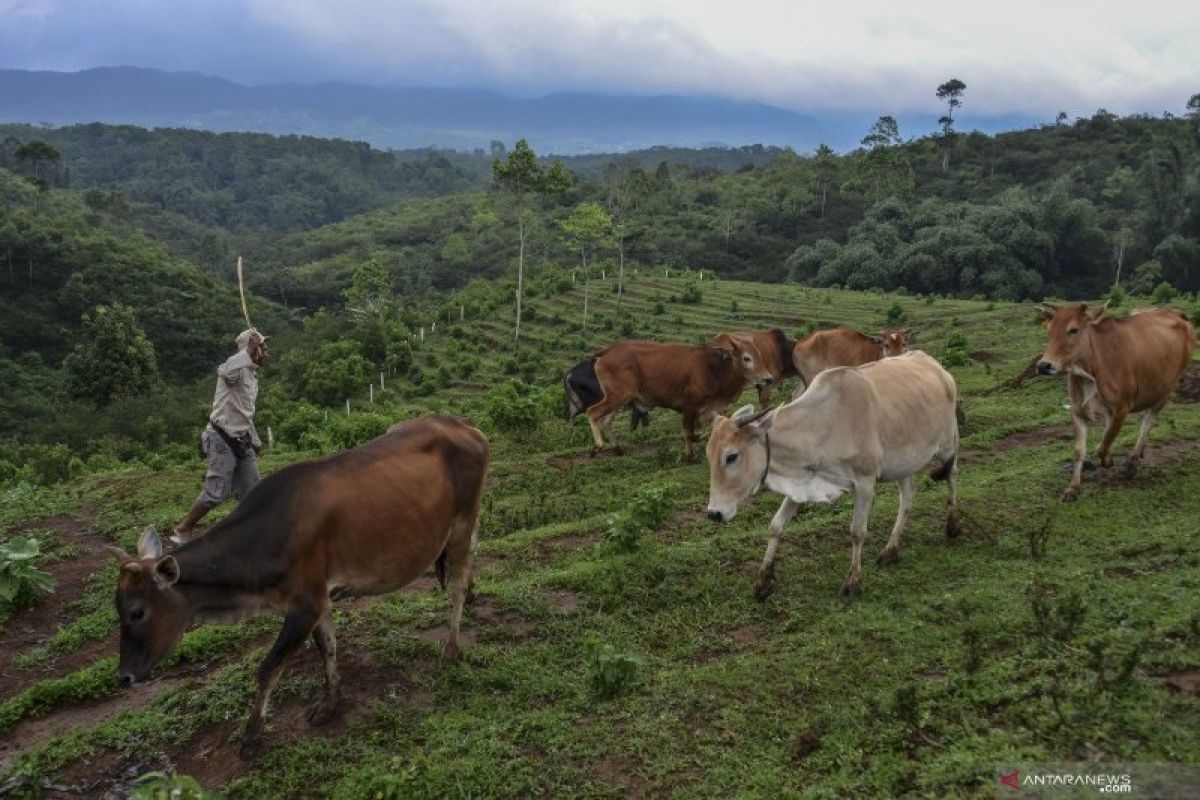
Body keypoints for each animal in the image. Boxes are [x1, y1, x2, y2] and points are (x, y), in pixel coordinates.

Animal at [108, 417, 489, 762]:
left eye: (137, 612)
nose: (125, 676)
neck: (262, 541)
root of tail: (467, 427)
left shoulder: (306, 605)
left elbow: (268, 668)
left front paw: (251, 735)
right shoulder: (319, 600)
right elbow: (327, 648)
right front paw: (331, 702)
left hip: (462, 521)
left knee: (456, 583)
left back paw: (452, 646)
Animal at [1036, 302, 1195, 501]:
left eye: (1073, 330)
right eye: (1049, 330)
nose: (1043, 365)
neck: (1091, 371)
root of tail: (1176, 313)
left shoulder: (1122, 408)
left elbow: (1105, 442)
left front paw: (1108, 460)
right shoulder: (1078, 410)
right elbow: (1080, 450)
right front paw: (1072, 489)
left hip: (1166, 388)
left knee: (1147, 421)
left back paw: (1133, 462)